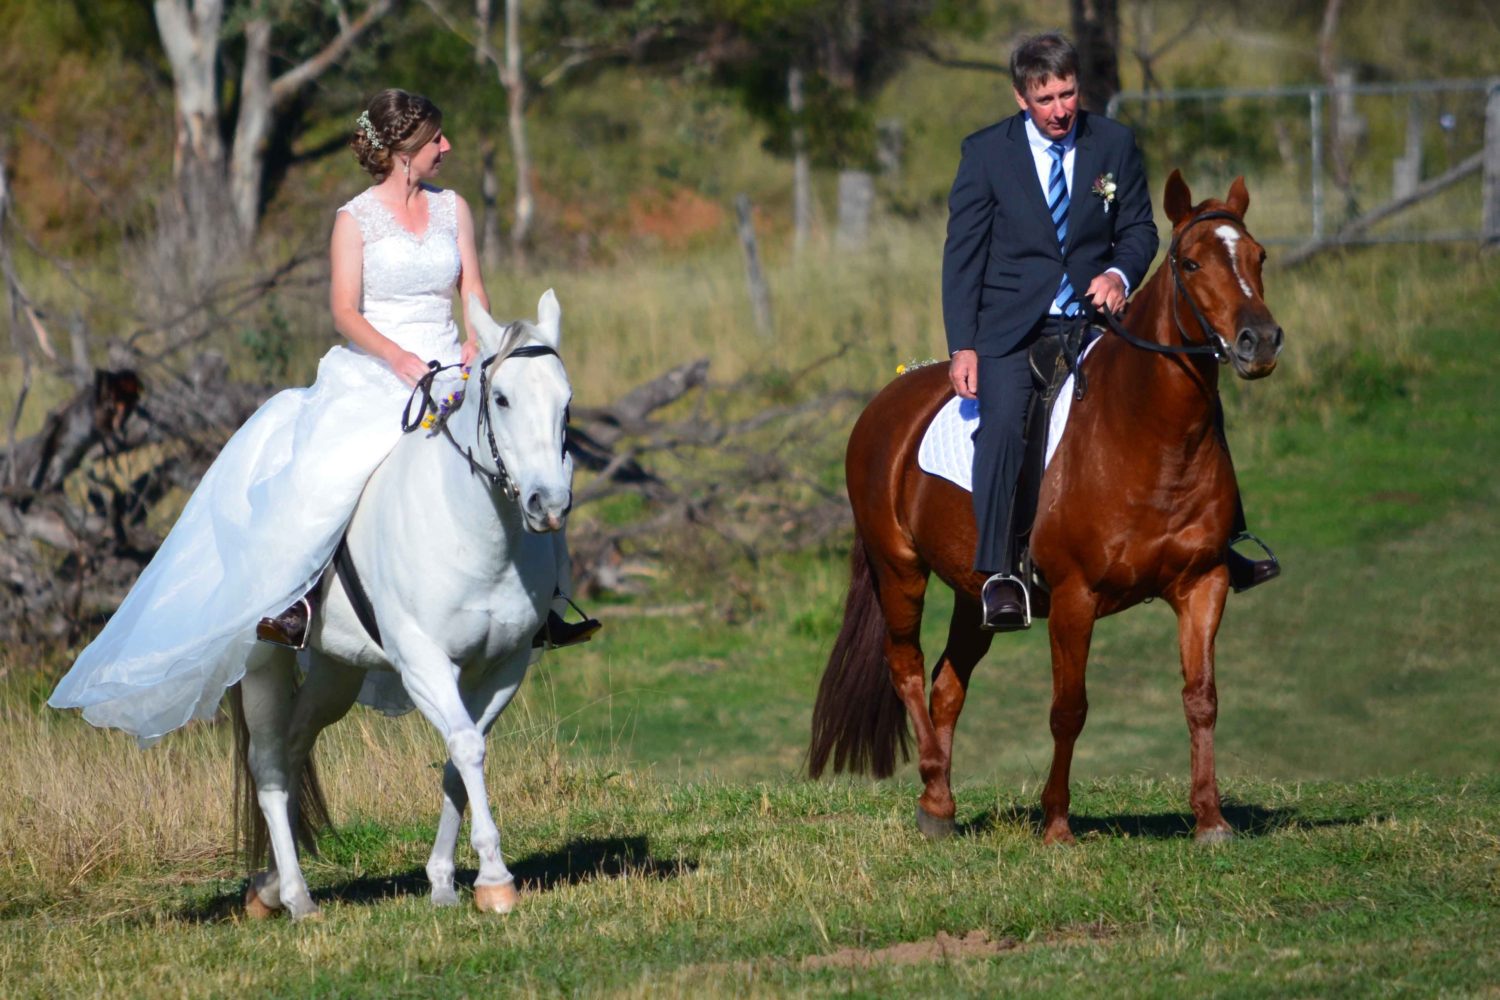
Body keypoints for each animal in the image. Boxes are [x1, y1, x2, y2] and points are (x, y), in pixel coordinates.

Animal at [234, 289, 573, 923]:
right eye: (502, 399)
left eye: (566, 403)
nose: (549, 505)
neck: (475, 530)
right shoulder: (423, 662)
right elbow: (465, 745)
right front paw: (496, 880)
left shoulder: (504, 666)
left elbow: (462, 757)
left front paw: (445, 881)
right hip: (261, 661)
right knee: (267, 762)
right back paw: (296, 897)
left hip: (336, 672)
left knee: (294, 746)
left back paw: (269, 886)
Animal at [816, 173, 1284, 845]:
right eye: (1192, 263)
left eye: (1258, 257)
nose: (1260, 342)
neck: (1149, 432)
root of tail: (887, 399)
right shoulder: (1074, 596)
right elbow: (1070, 708)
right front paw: (1057, 825)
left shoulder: (1204, 582)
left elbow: (1202, 697)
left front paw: (1210, 820)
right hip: (898, 568)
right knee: (905, 665)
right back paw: (935, 788)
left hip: (977, 593)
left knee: (947, 685)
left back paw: (938, 804)